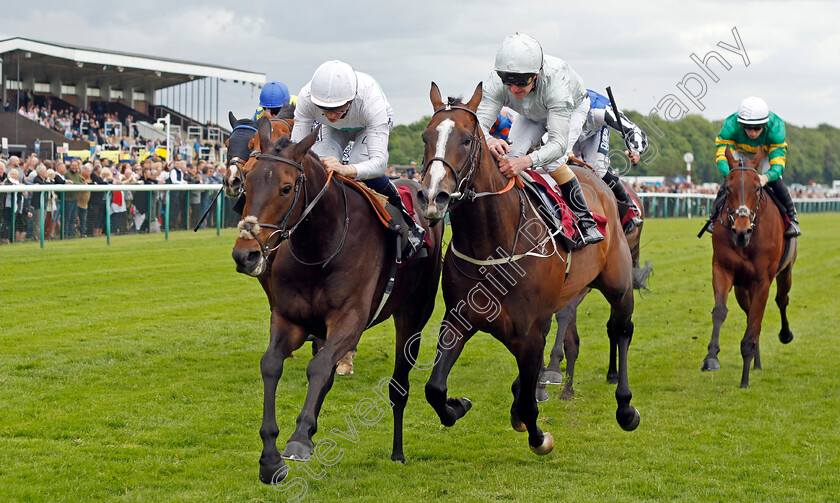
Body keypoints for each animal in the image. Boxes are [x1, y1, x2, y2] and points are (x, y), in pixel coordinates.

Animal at [230, 117, 440, 484]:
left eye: (286, 188)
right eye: (249, 181)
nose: (246, 254)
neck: (320, 246)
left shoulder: (350, 319)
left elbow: (318, 367)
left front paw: (299, 439)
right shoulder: (289, 318)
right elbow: (272, 365)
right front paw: (270, 457)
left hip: (414, 314)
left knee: (399, 385)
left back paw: (397, 452)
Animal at [416, 83, 640, 456]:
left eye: (466, 139)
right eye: (425, 136)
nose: (433, 197)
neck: (493, 243)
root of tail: (594, 175)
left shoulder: (529, 331)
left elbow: (529, 405)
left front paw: (539, 437)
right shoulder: (459, 319)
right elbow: (434, 388)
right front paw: (458, 405)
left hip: (619, 284)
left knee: (621, 330)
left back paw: (625, 407)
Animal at [540, 183, 652, 400]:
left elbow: (565, 316)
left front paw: (554, 369)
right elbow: (567, 334)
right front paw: (565, 387)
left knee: (614, 325)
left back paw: (613, 374)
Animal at [700, 146, 796, 390]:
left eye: (757, 188)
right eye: (727, 188)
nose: (741, 232)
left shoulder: (763, 281)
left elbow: (754, 323)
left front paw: (744, 380)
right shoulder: (722, 269)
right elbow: (720, 311)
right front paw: (711, 358)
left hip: (785, 272)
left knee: (781, 300)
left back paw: (784, 335)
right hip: (742, 288)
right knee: (751, 315)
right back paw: (757, 362)